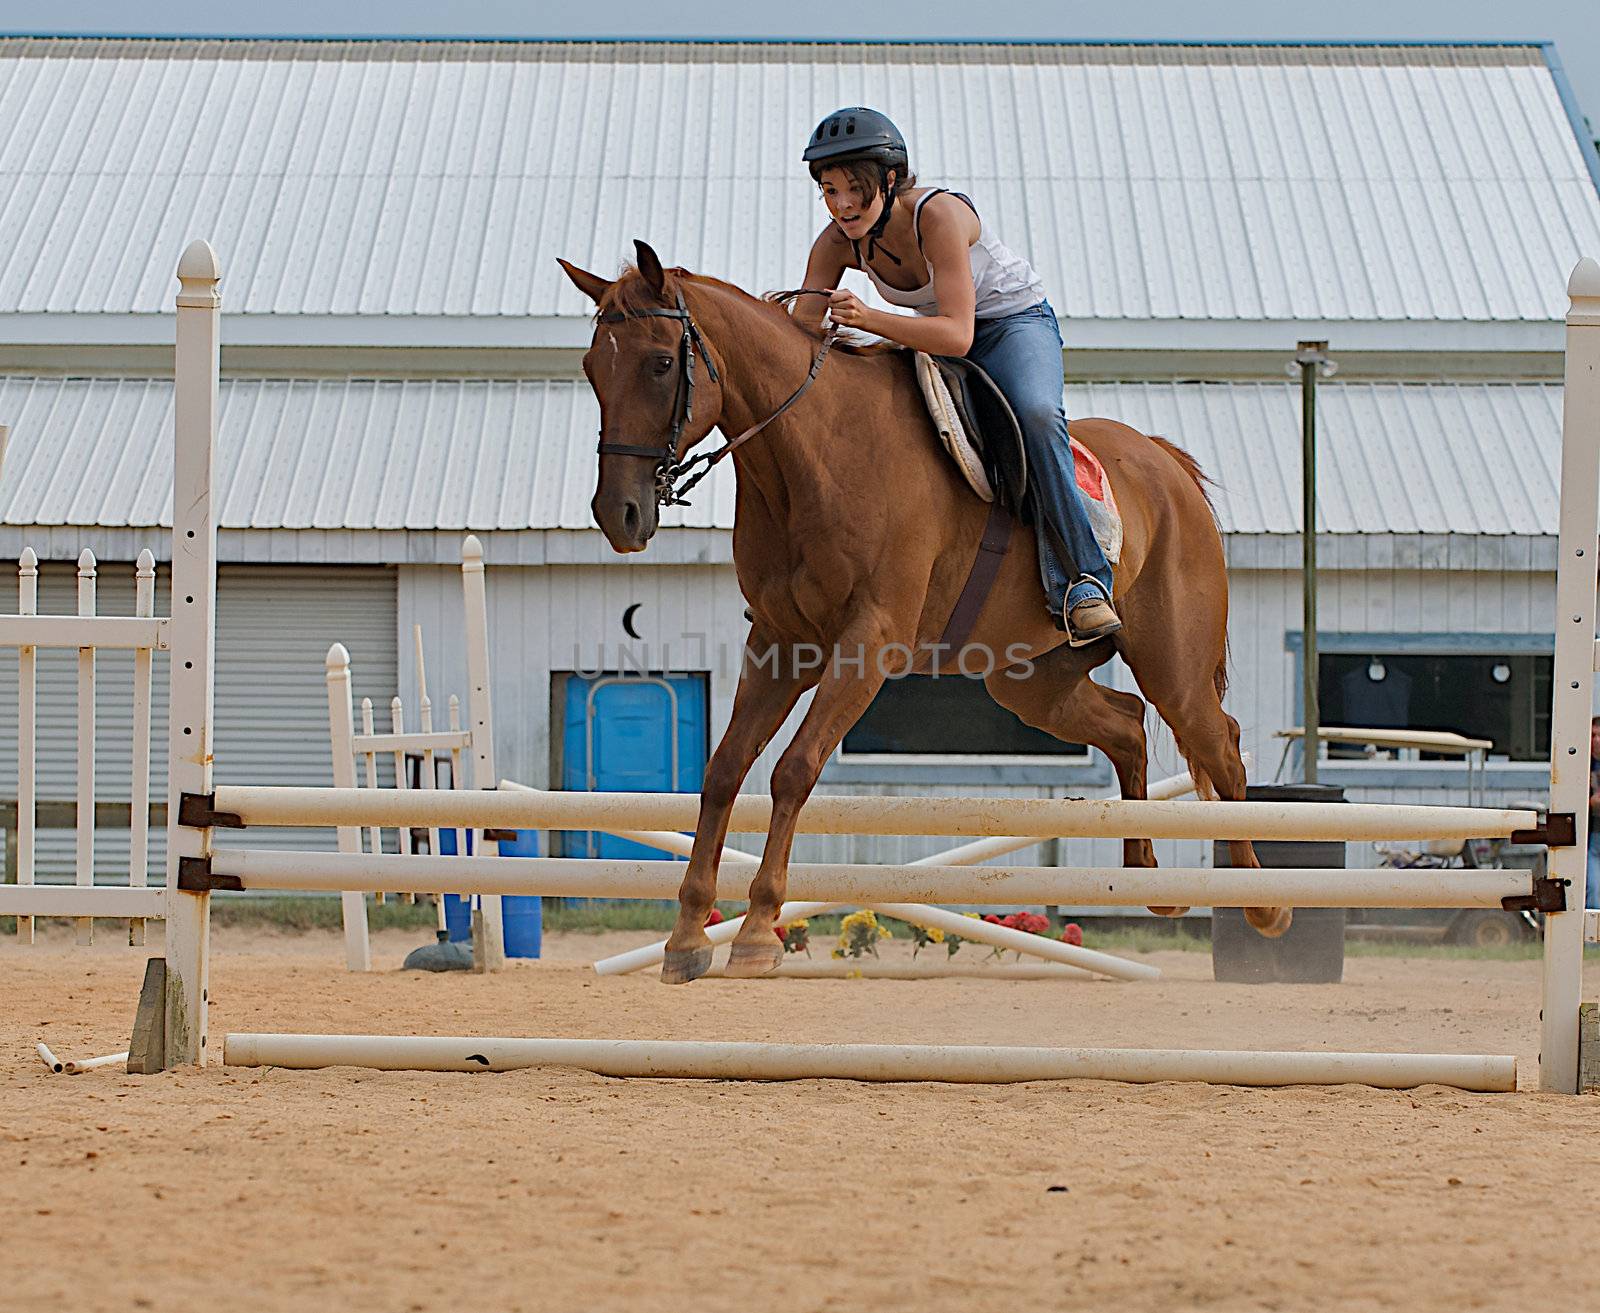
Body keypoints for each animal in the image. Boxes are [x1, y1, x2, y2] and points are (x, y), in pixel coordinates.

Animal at [563, 243, 1286, 985]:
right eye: (593, 367)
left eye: (660, 363)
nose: (618, 515)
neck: (812, 456)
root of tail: (1166, 465)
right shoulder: (779, 642)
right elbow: (724, 769)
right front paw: (686, 936)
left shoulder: (868, 640)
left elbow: (794, 767)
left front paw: (760, 928)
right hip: (1030, 680)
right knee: (1127, 725)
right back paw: (1151, 882)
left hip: (1173, 666)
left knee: (1220, 746)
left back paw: (1262, 904)